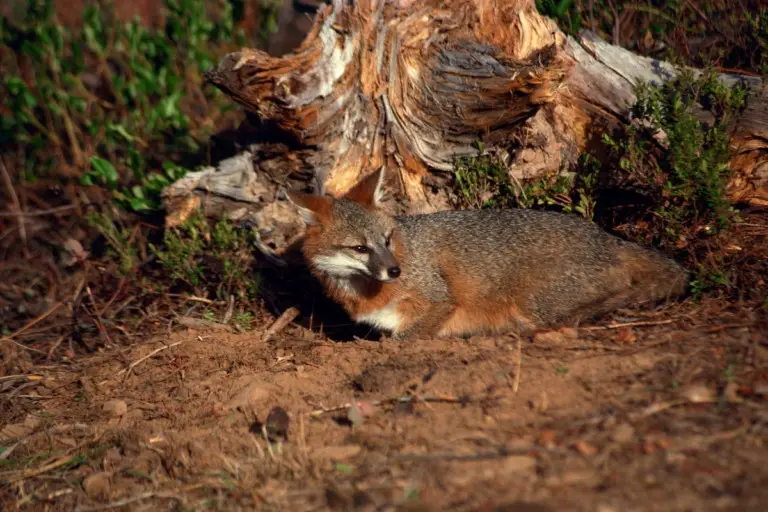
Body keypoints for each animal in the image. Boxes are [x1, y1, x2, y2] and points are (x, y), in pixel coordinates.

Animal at [286, 168, 689, 340]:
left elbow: (402, 338)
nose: (395, 271)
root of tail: (606, 237)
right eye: (360, 248)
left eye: (387, 239)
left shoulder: (440, 301)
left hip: (534, 304)